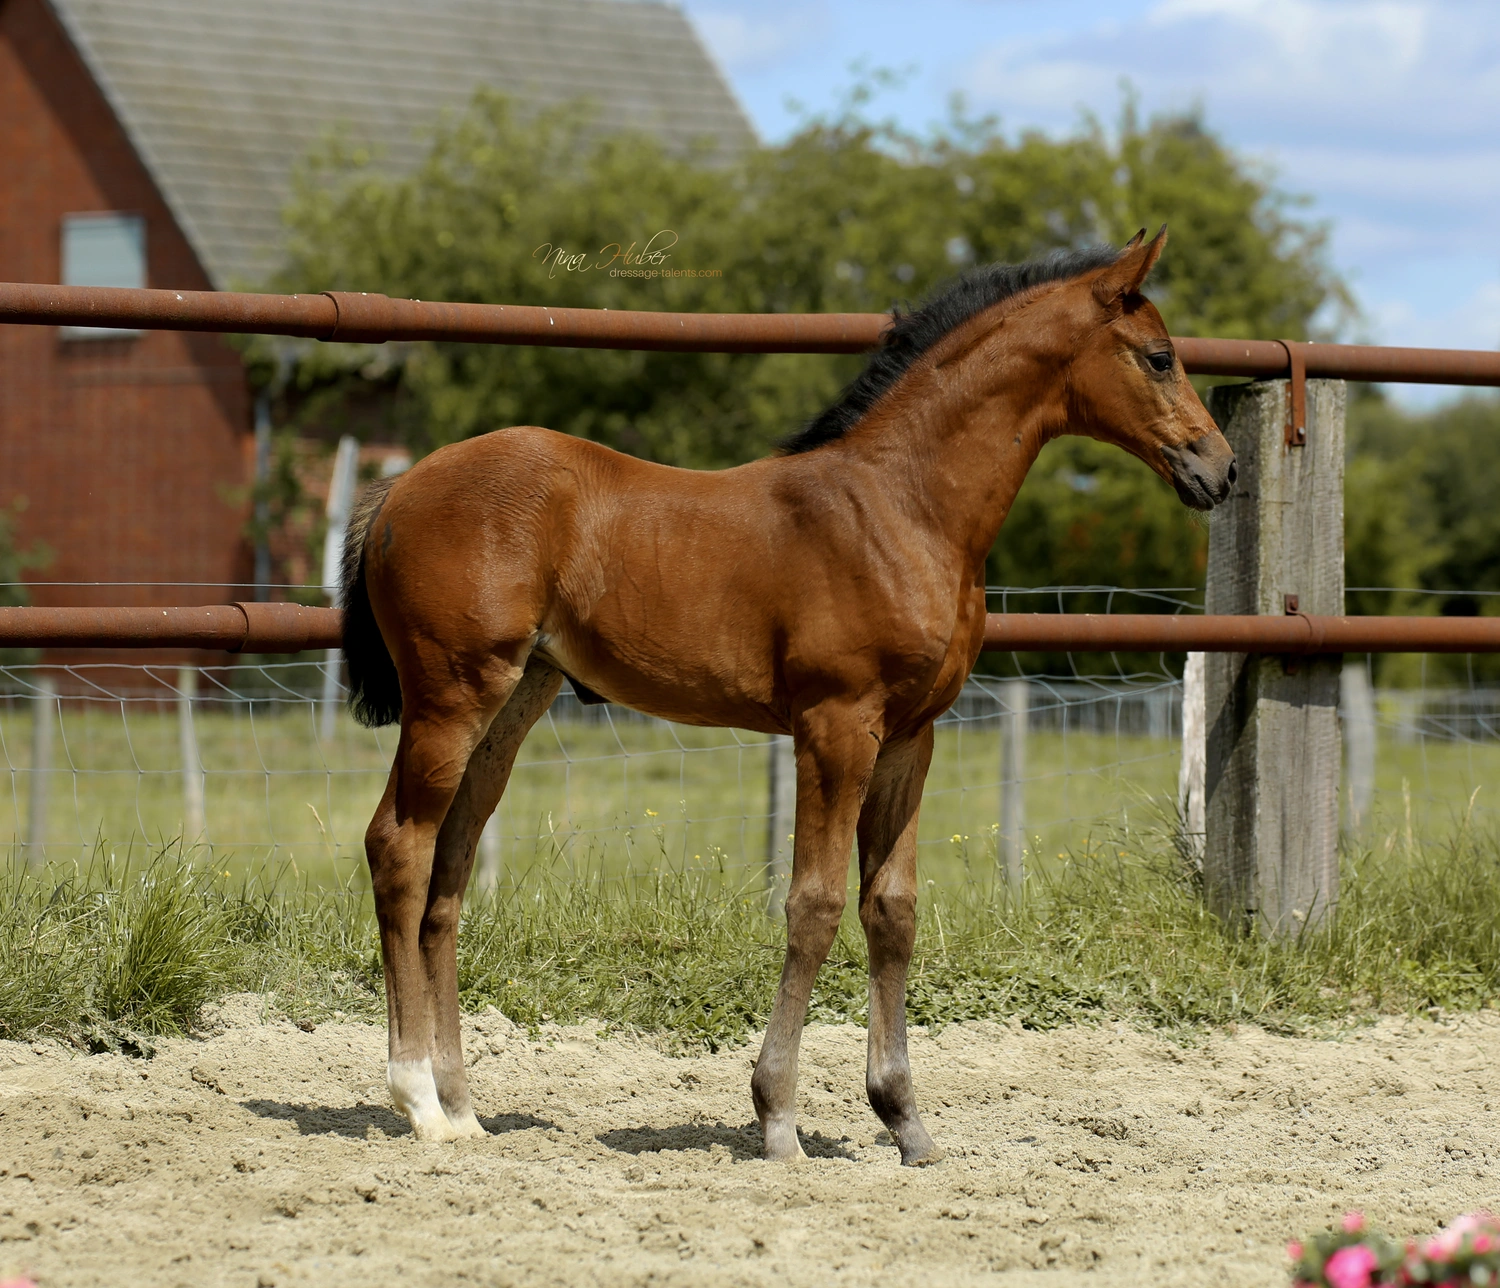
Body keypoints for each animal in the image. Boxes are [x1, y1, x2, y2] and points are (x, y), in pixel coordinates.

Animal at [339, 227, 1236, 1162]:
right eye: (1161, 357)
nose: (1223, 468)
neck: (904, 508)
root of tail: (400, 484)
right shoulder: (835, 727)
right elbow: (814, 904)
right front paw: (776, 1118)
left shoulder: (912, 736)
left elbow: (893, 910)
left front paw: (905, 1120)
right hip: (449, 696)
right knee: (398, 847)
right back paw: (417, 1100)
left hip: (513, 703)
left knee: (448, 872)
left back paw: (463, 1108)